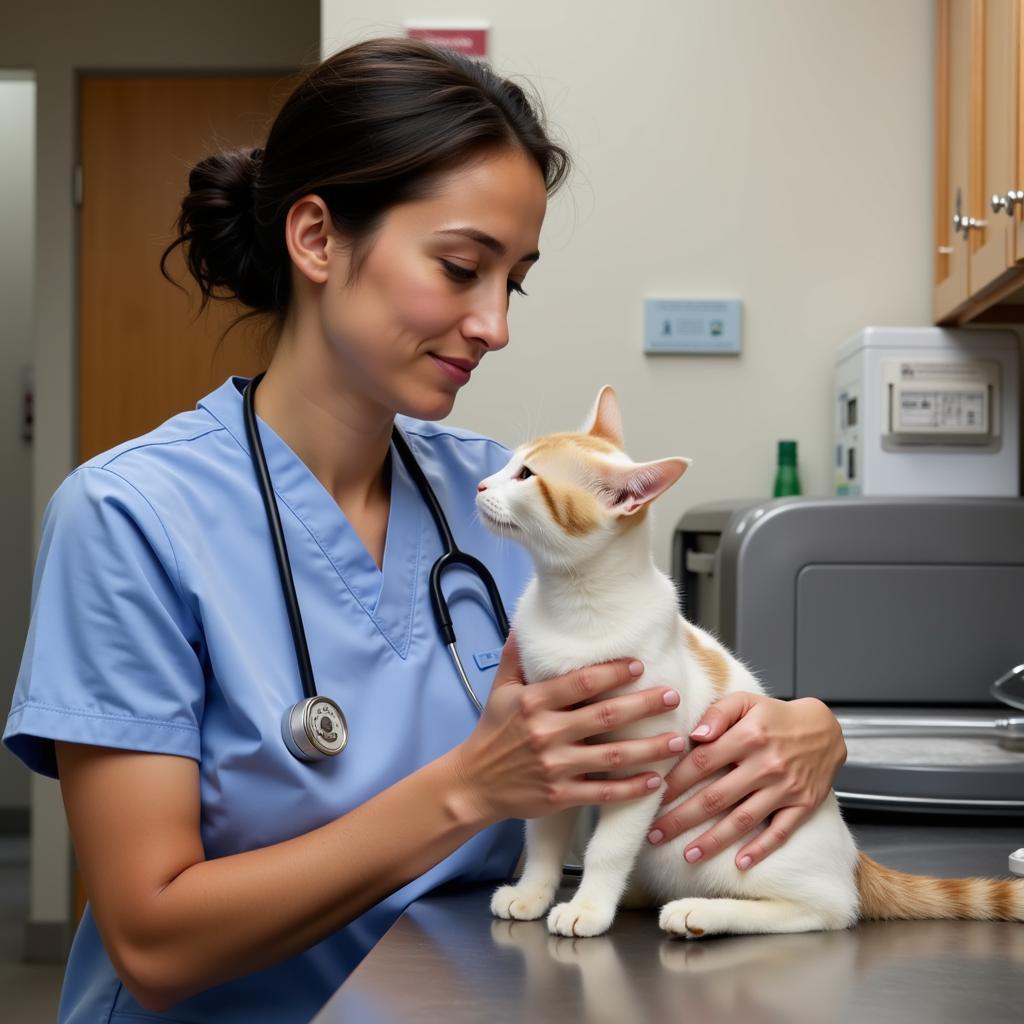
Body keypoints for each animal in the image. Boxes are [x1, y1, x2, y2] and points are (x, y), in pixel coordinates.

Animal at [473, 387, 1024, 937]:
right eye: (508, 462)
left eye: (527, 475)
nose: (481, 484)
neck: (577, 604)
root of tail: (854, 858)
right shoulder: (555, 754)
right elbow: (543, 836)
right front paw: (532, 893)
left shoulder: (645, 760)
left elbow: (607, 848)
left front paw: (588, 907)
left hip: (739, 861)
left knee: (828, 910)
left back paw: (699, 912)